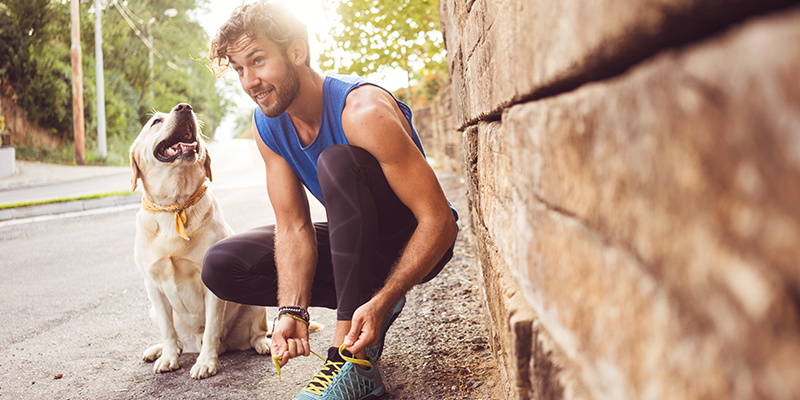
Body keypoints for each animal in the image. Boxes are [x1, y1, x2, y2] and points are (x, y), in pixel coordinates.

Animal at [129, 102, 272, 378]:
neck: (175, 204)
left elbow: (212, 328)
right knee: (176, 338)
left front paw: (206, 362)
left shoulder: (211, 286)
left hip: (253, 305)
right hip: (153, 310)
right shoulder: (153, 286)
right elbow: (167, 329)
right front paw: (168, 357)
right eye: (156, 121)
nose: (184, 107)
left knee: (257, 332)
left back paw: (263, 344)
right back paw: (159, 350)